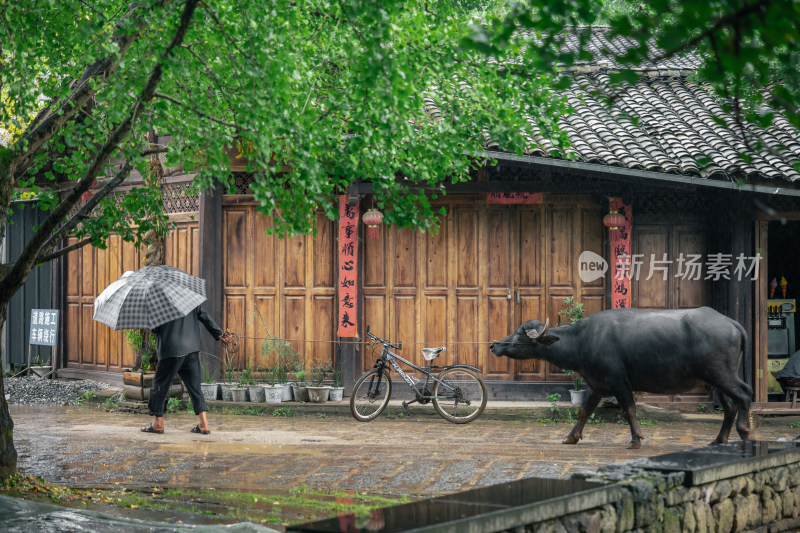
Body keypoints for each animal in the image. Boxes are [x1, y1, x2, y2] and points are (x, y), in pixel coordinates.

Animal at [490, 306, 752, 446]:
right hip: (714, 380)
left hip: (721, 374)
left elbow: (629, 410)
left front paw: (636, 439)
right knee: (730, 406)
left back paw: (745, 431)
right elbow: (584, 411)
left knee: (745, 394)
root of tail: (732, 322)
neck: (583, 340)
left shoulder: (618, 382)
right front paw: (571, 437)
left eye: (520, 333)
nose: (494, 344)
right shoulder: (595, 384)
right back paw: (719, 440)